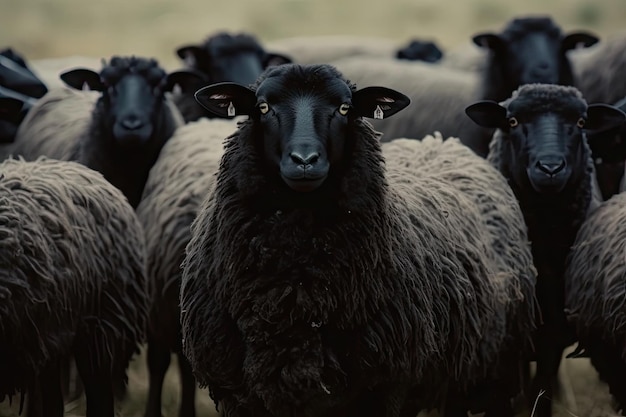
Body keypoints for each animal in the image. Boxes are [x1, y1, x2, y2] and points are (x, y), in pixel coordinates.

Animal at [178, 62, 532, 416]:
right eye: (263, 107)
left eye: (344, 108)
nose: (304, 160)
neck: (296, 292)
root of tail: (440, 142)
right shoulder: (234, 393)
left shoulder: (385, 387)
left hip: (498, 368)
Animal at [464, 82, 624, 416]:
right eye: (512, 121)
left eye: (581, 122)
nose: (550, 167)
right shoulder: (512, 337)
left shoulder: (553, 333)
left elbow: (543, 385)